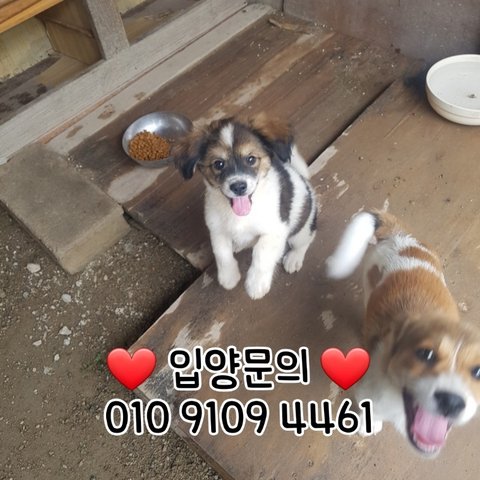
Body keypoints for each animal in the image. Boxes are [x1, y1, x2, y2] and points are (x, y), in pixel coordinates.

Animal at [174, 115, 317, 299]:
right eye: (218, 164)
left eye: (251, 159)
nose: (238, 187)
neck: (241, 216)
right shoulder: (217, 229)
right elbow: (221, 252)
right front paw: (229, 276)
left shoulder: (275, 230)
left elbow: (261, 252)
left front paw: (256, 284)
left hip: (301, 230)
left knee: (306, 240)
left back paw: (294, 258)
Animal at [326, 209, 480, 456]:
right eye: (425, 354)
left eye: (477, 371)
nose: (452, 402)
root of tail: (401, 236)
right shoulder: (368, 393)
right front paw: (369, 425)